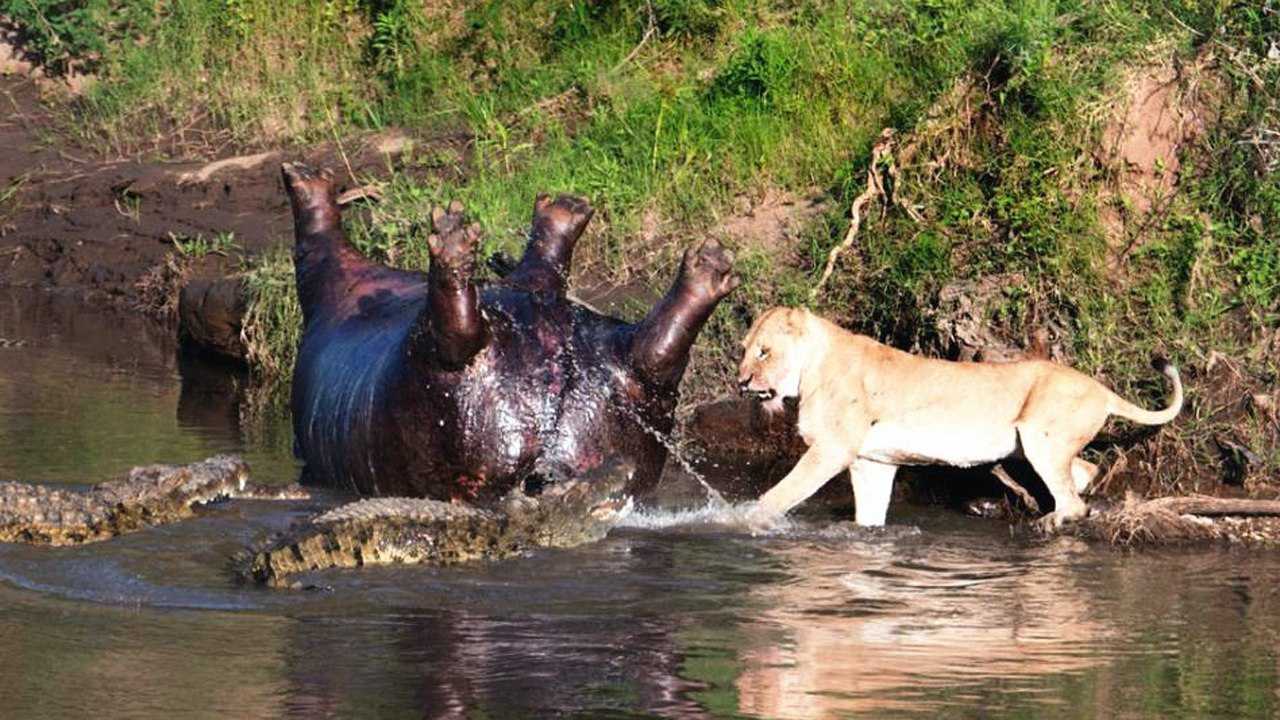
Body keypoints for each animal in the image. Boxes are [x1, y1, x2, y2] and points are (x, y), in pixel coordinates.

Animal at [282, 161, 742, 504]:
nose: (307, 168)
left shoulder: (326, 278)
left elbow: (315, 245)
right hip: (628, 377)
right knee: (651, 351)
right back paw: (705, 268)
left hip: (427, 359)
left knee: (458, 327)